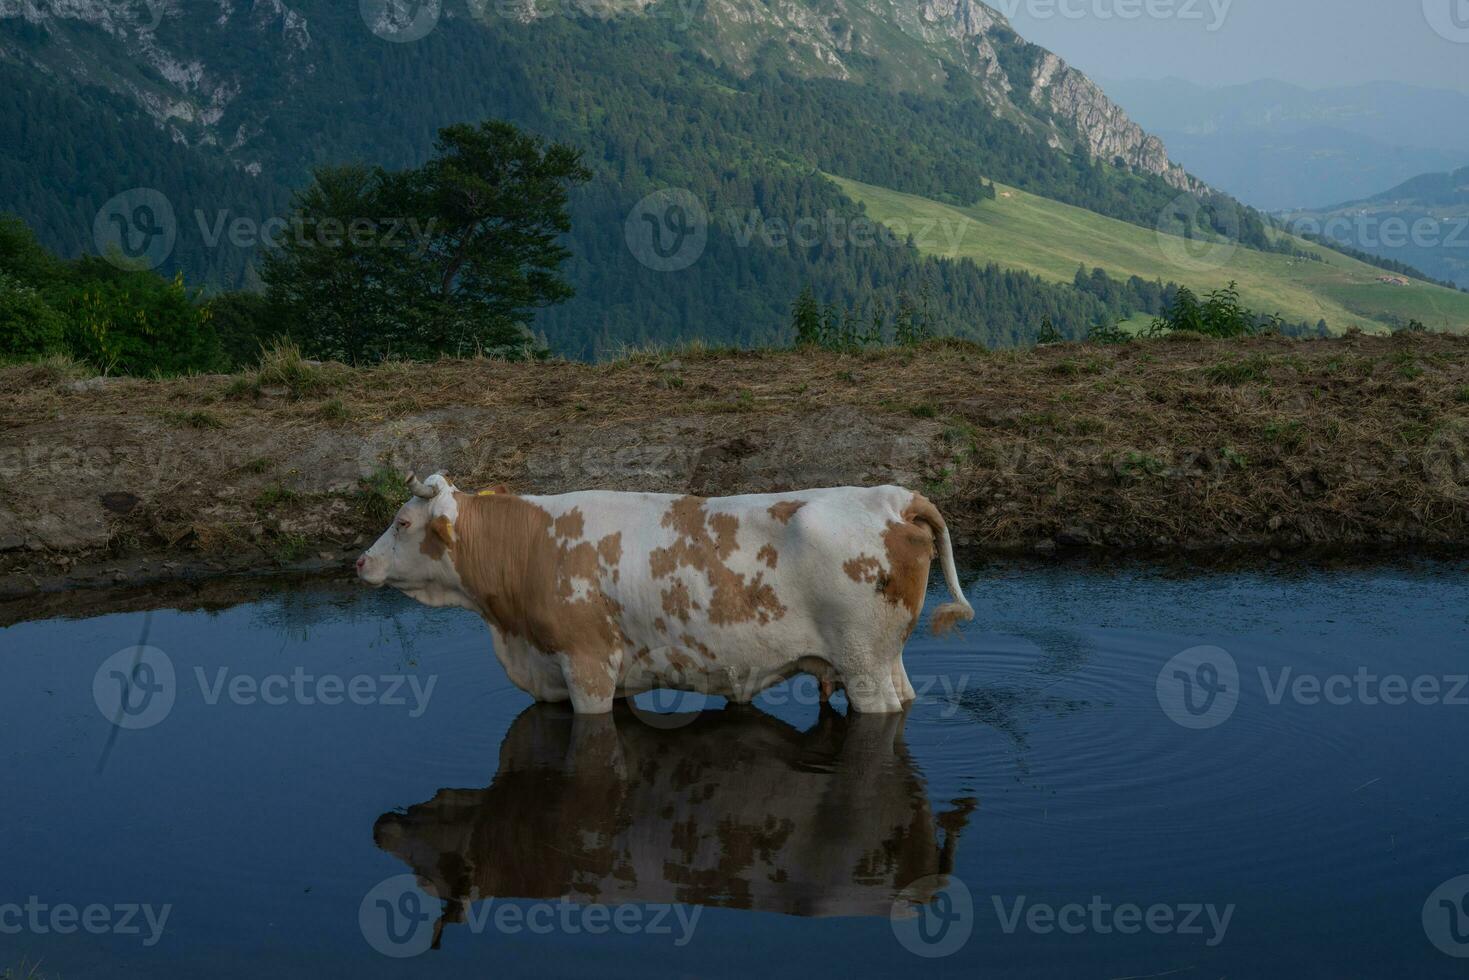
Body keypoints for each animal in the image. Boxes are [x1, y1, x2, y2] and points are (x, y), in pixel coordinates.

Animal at [355, 476, 975, 714]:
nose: (360, 561)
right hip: (886, 657)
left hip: (862, 665)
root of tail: (893, 497)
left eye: (402, 522)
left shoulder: (587, 664)